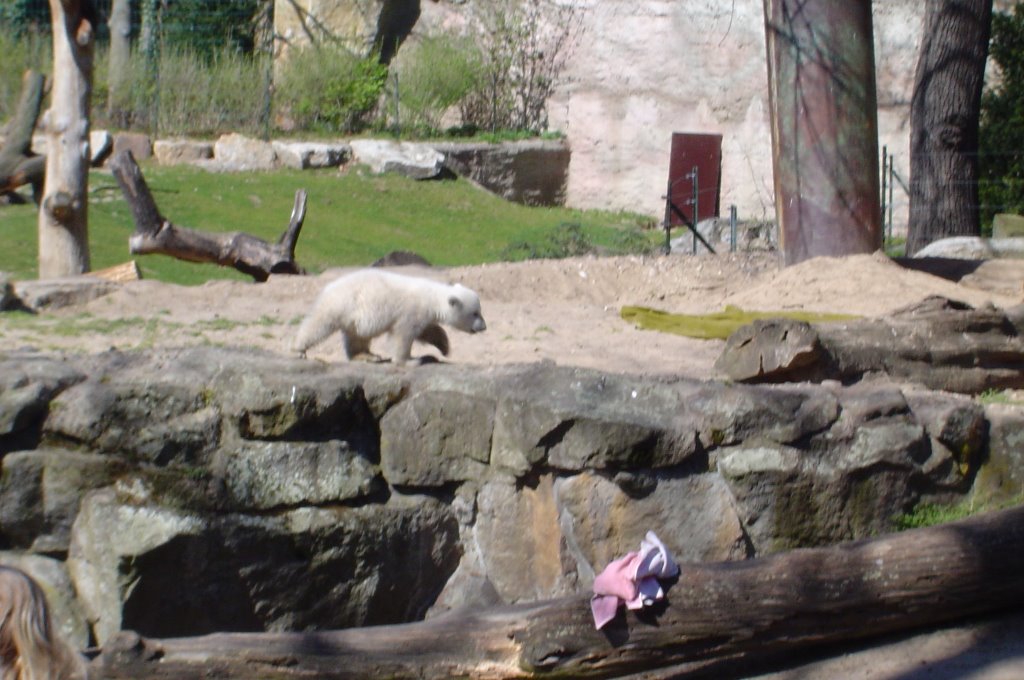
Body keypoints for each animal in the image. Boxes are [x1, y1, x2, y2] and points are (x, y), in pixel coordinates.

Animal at [292, 270, 487, 366]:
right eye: (475, 313)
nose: (483, 327)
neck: (432, 297)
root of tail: (329, 287)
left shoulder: (422, 315)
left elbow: (428, 330)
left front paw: (444, 348)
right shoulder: (411, 311)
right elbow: (402, 335)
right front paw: (410, 360)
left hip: (354, 316)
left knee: (358, 336)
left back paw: (367, 356)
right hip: (342, 304)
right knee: (319, 323)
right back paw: (298, 349)